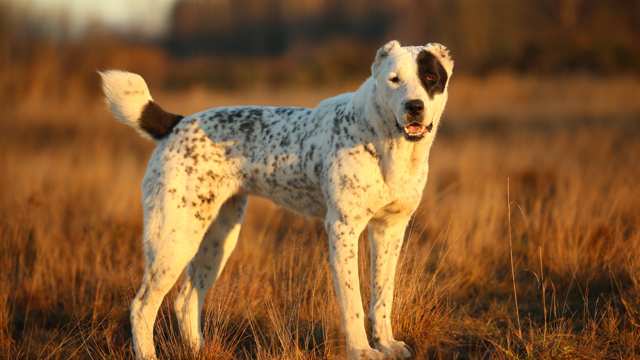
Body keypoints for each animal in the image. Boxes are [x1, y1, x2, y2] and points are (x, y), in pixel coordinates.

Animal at [100, 40, 452, 360]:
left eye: (431, 78)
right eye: (394, 79)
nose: (414, 106)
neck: (385, 141)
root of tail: (176, 123)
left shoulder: (390, 231)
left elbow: (382, 296)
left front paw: (387, 345)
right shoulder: (343, 230)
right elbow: (352, 302)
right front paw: (362, 351)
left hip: (217, 239)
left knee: (186, 299)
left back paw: (199, 350)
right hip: (174, 240)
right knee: (142, 306)